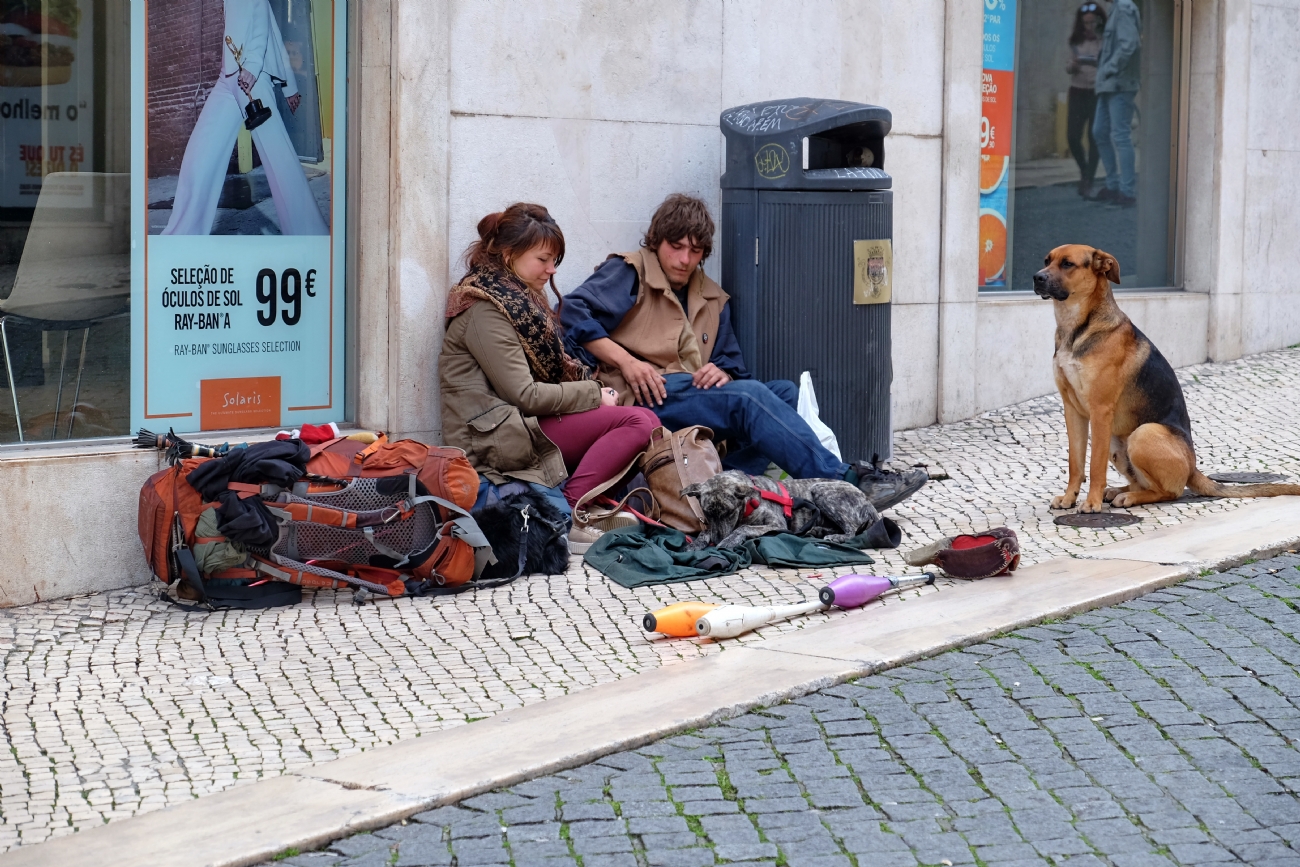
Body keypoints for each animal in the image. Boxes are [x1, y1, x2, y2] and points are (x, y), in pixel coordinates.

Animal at [681, 470, 883, 553]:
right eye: (706, 513)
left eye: (729, 513)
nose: (716, 541)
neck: (748, 504)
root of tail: (868, 502)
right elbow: (705, 531)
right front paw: (697, 543)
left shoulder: (776, 523)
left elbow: (744, 528)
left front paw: (730, 539)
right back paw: (818, 531)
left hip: (821, 490)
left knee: (852, 529)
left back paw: (836, 536)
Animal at [1034, 244, 1300, 512]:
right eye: (1046, 260)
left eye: (1068, 264)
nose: (1037, 278)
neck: (1076, 329)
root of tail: (1193, 468)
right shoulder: (1072, 410)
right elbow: (1075, 463)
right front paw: (1069, 498)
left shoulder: (1100, 410)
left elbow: (1095, 466)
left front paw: (1091, 503)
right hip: (1116, 442)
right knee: (1144, 483)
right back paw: (1120, 491)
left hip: (1142, 433)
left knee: (1170, 492)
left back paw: (1128, 497)